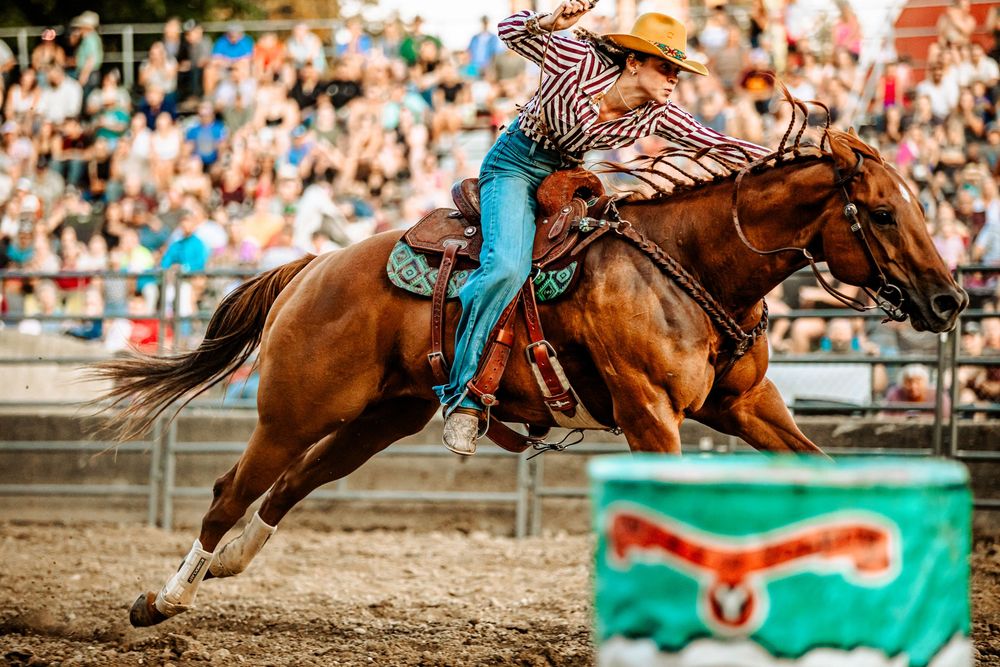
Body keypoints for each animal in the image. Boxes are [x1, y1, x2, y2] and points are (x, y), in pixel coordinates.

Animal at [95, 126, 966, 627]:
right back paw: (162, 600)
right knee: (231, 490)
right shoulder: (650, 412)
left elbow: (825, 471)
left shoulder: (749, 405)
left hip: (381, 417)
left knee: (291, 485)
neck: (687, 265)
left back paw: (227, 565)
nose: (951, 299)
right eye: (883, 212)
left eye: (923, 205)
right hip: (292, 410)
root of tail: (314, 266)